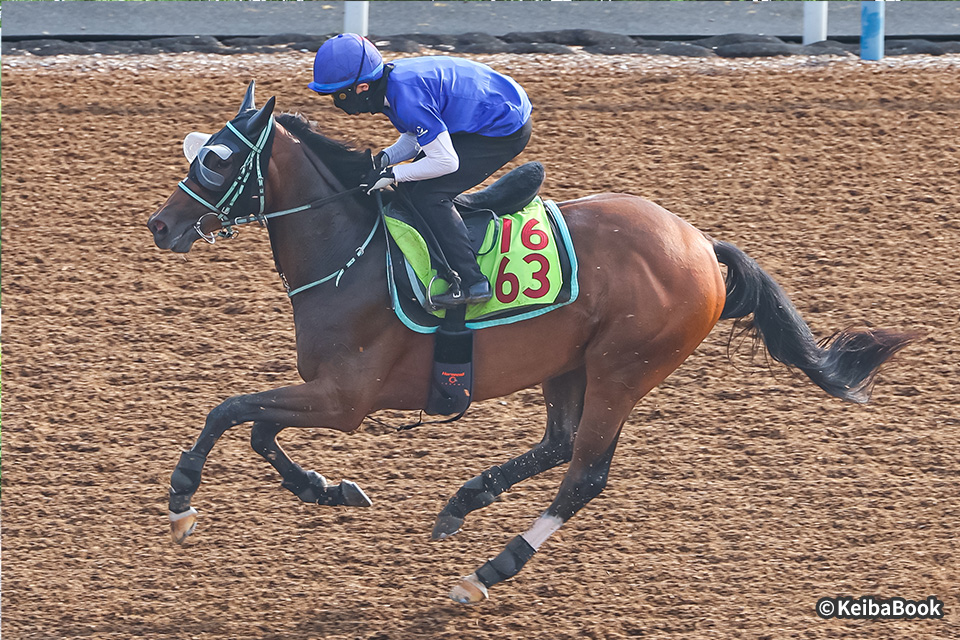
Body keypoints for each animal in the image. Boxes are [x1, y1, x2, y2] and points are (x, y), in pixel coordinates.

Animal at [147, 82, 913, 604]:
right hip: (569, 364)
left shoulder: (344, 399)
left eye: (217, 161)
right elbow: (255, 428)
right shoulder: (328, 395)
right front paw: (328, 489)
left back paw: (488, 570)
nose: (161, 225)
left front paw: (182, 502)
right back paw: (464, 501)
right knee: (559, 443)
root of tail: (702, 247)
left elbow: (229, 411)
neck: (350, 251)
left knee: (584, 474)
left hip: (624, 368)